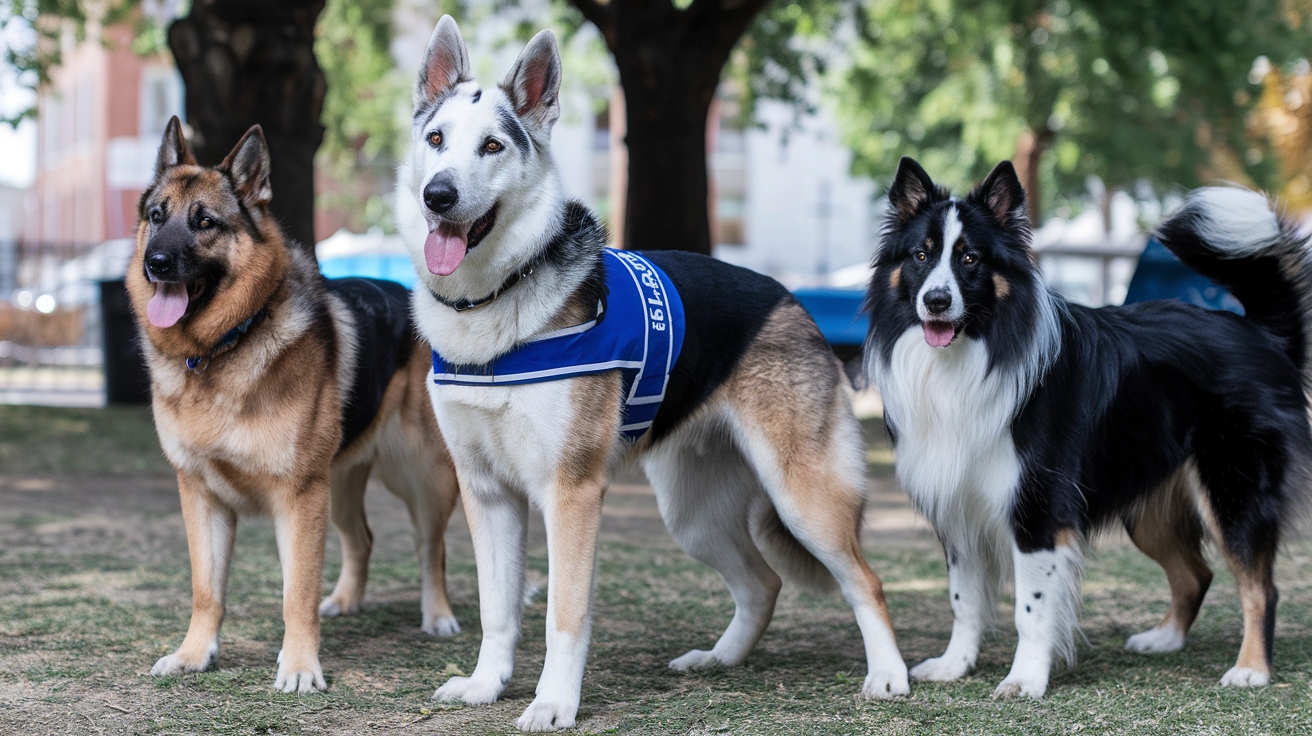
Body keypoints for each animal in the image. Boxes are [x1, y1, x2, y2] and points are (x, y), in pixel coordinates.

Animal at [127, 117, 464, 692]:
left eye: (205, 222)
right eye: (156, 217)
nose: (156, 264)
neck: (223, 348)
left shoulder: (300, 498)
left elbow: (296, 594)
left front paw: (301, 666)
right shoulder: (202, 497)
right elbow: (206, 591)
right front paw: (194, 654)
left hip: (422, 479)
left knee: (431, 548)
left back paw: (437, 615)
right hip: (343, 487)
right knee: (363, 539)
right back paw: (346, 601)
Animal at [398, 14, 913, 729]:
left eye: (493, 146)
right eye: (437, 140)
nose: (437, 195)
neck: (498, 298)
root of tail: (789, 298)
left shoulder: (570, 494)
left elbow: (563, 617)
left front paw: (553, 703)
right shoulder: (487, 494)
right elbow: (498, 612)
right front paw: (485, 685)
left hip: (803, 498)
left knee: (865, 581)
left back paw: (889, 675)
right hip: (691, 516)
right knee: (764, 583)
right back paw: (720, 660)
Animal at [860, 156, 1312, 697]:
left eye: (970, 259)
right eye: (921, 255)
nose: (937, 302)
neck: (979, 350)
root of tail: (1260, 332)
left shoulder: (1038, 510)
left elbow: (1031, 609)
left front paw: (1025, 679)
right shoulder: (959, 508)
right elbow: (962, 600)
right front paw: (956, 665)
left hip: (1233, 490)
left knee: (1260, 586)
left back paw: (1251, 669)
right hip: (1147, 502)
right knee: (1195, 573)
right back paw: (1164, 639)